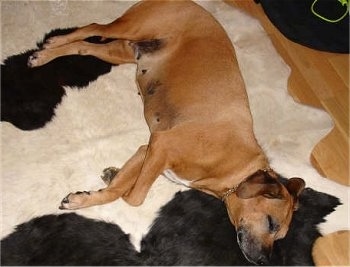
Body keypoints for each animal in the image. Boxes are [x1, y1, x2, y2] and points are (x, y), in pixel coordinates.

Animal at [28, 1, 304, 266]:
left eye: (280, 235)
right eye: (271, 223)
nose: (263, 260)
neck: (236, 168)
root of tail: (192, 4)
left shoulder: (149, 149)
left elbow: (123, 187)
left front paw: (106, 182)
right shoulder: (162, 145)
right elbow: (134, 198)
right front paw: (90, 196)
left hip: (122, 51)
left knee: (85, 47)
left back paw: (45, 54)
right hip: (131, 27)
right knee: (94, 27)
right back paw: (52, 44)